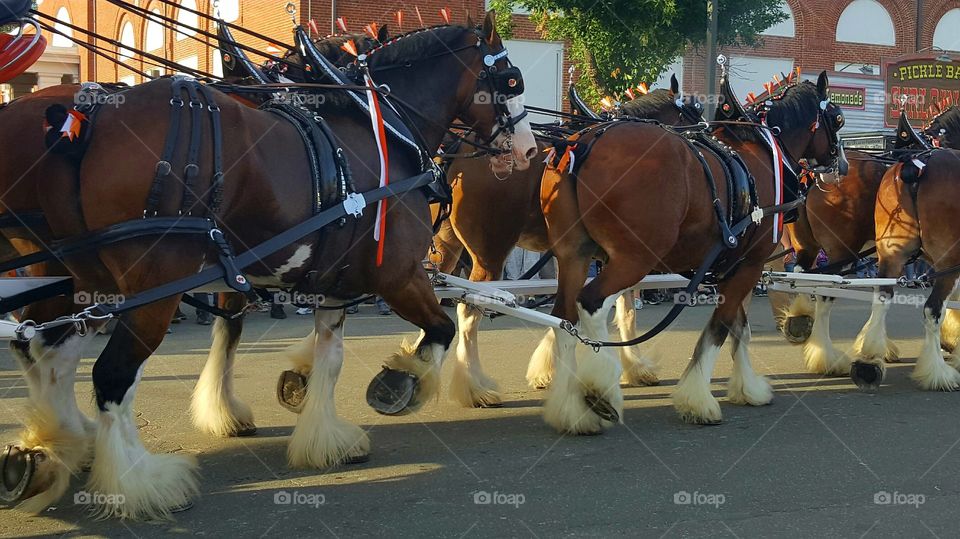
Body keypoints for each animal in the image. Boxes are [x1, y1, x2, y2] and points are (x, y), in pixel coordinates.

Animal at [9, 16, 540, 520]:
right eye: (512, 79)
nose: (529, 149)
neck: (381, 125)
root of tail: (85, 121)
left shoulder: (330, 282)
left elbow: (323, 356)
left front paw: (320, 432)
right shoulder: (398, 275)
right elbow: (439, 330)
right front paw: (398, 383)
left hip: (83, 281)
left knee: (44, 350)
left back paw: (52, 450)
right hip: (154, 287)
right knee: (110, 375)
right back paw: (140, 484)